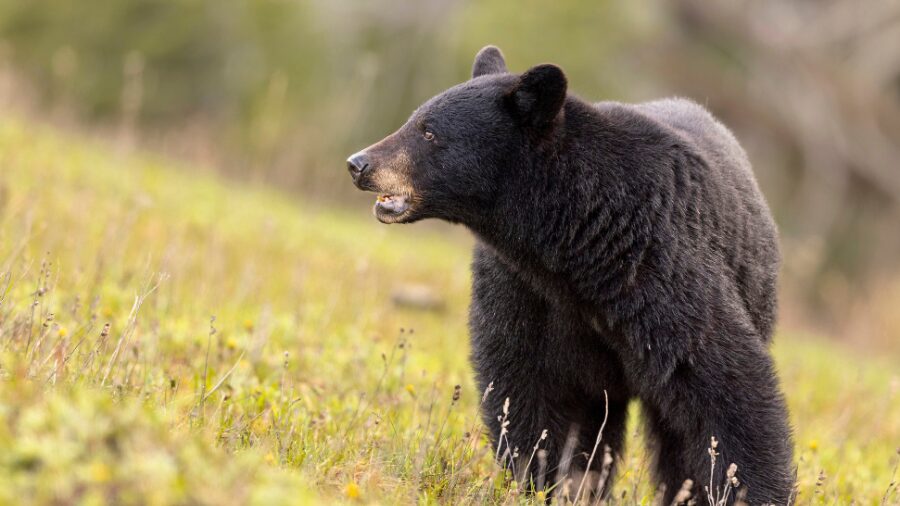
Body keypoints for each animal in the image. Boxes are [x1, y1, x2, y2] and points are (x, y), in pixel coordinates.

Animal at [347, 46, 794, 504]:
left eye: (429, 132)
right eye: (415, 119)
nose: (359, 163)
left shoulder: (663, 269)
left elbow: (723, 385)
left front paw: (745, 490)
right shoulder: (523, 288)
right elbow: (530, 392)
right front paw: (548, 481)